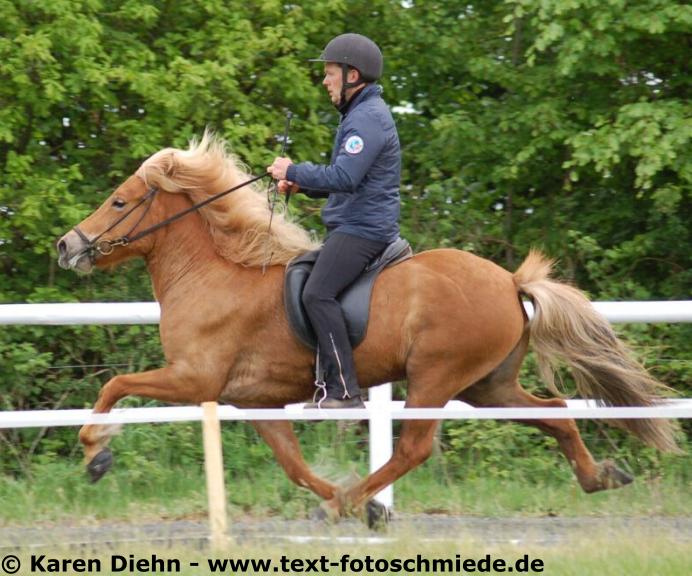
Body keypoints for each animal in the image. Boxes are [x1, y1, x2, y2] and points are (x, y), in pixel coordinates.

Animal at [56, 133, 680, 524]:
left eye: (119, 202)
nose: (67, 246)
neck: (214, 276)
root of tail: (509, 281)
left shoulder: (194, 380)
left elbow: (114, 384)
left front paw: (96, 453)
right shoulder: (253, 401)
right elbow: (293, 464)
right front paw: (363, 506)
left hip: (436, 378)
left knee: (415, 449)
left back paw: (347, 505)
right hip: (488, 384)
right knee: (554, 413)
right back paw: (600, 477)